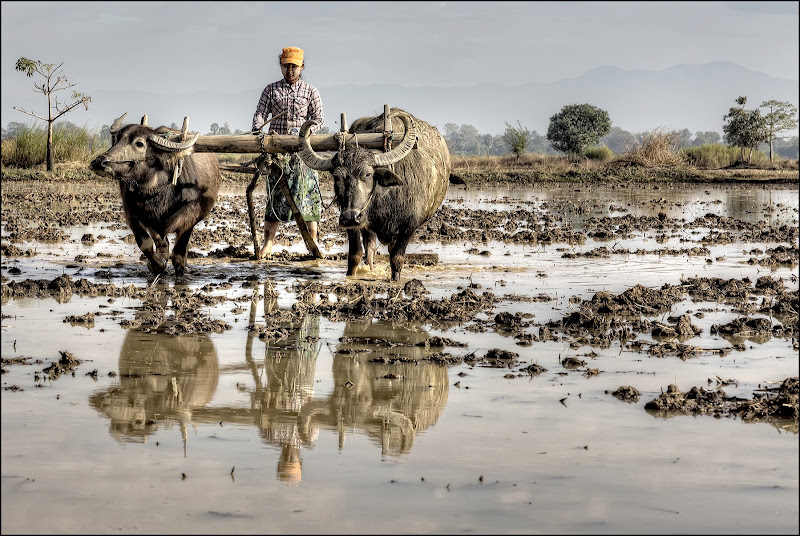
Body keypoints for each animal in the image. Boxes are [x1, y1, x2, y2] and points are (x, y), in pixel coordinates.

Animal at [90, 115, 219, 278]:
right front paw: (157, 265)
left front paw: (180, 271)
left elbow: (178, 254)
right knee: (162, 244)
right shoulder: (132, 214)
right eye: (117, 139)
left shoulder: (189, 219)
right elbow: (145, 244)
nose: (99, 162)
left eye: (139, 143)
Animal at [296, 108, 460, 280]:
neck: (386, 198)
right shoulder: (354, 225)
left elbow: (397, 258)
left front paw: (395, 279)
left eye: (368, 174)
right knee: (370, 248)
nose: (350, 217)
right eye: (337, 176)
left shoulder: (408, 227)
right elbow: (355, 255)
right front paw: (350, 276)